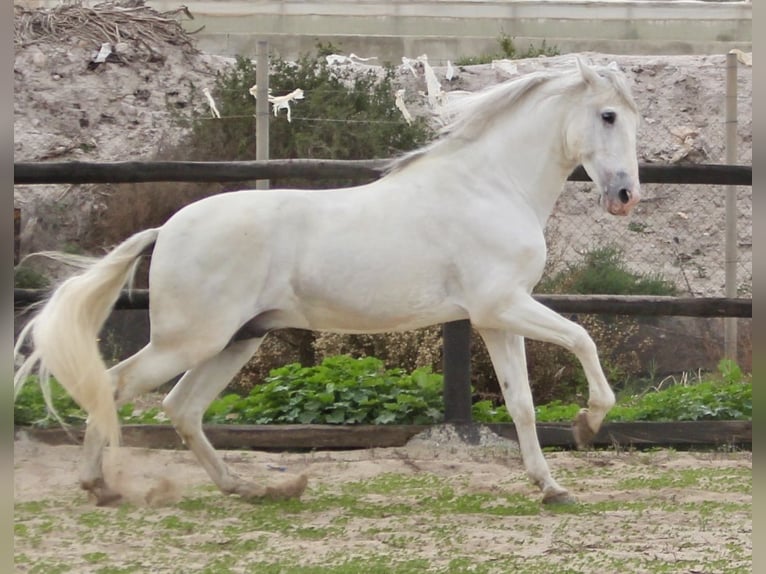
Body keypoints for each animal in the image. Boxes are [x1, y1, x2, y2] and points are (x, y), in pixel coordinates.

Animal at [15, 59, 644, 508]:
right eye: (608, 116)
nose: (624, 196)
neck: (492, 185)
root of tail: (167, 227)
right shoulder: (504, 306)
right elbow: (583, 340)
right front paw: (588, 424)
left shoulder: (495, 318)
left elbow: (521, 405)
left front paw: (552, 487)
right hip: (190, 340)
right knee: (115, 386)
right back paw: (100, 486)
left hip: (236, 340)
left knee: (182, 408)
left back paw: (250, 488)